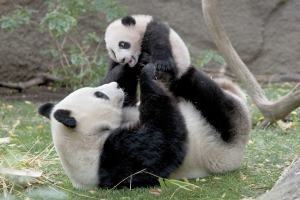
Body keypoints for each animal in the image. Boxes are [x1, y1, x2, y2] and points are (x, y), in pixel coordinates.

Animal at [39, 63, 251, 189]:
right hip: (224, 140)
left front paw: (129, 64)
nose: (116, 86)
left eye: (97, 90)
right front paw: (147, 74)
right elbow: (163, 143)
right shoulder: (114, 157)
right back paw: (188, 74)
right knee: (214, 101)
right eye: (100, 95)